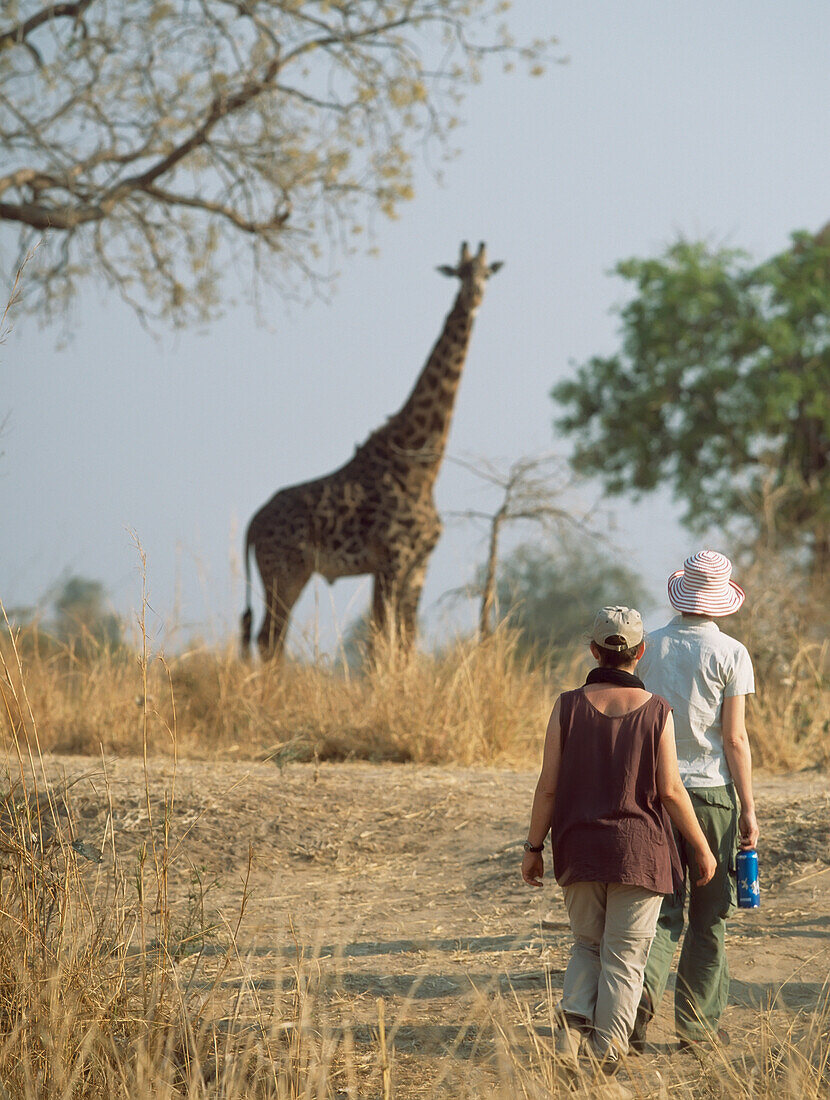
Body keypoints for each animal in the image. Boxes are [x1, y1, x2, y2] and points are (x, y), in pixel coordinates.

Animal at [237, 240, 503, 655]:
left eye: (487, 273)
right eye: (460, 273)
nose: (474, 296)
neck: (424, 465)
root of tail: (252, 525)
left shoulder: (416, 565)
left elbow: (405, 642)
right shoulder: (393, 559)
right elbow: (382, 642)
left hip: (283, 573)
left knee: (266, 636)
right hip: (285, 570)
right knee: (270, 639)